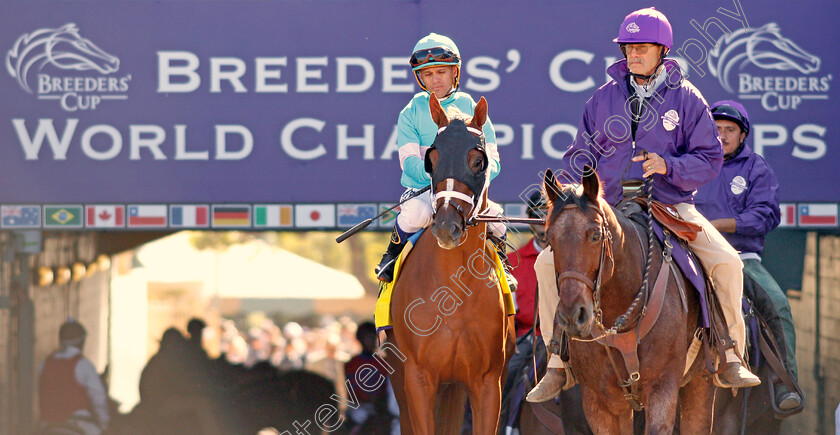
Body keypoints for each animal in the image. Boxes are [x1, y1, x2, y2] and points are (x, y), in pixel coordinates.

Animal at [544, 169, 716, 434]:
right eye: (551, 240)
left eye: (596, 235)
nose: (573, 315)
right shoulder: (599, 403)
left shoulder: (662, 388)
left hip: (701, 382)